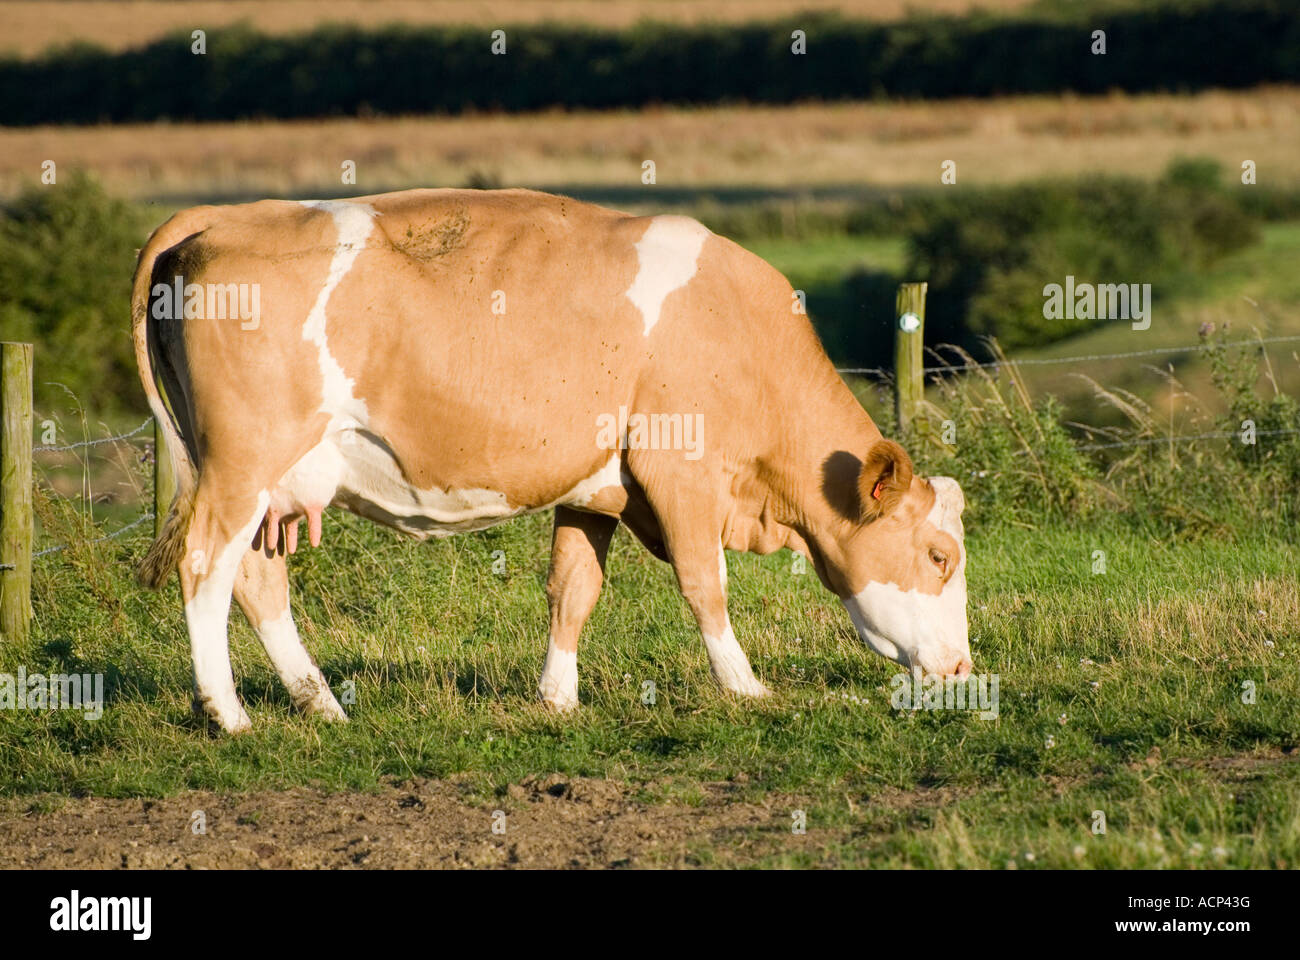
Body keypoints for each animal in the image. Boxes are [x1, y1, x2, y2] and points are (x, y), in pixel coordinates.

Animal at [131, 188, 971, 733]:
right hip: (241, 467)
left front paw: (557, 697)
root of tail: (230, 215)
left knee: (256, 579)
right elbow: (706, 586)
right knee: (204, 566)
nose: (963, 669)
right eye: (938, 555)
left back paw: (321, 703)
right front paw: (744, 686)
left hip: (269, 487)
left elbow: (573, 589)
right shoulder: (682, 473)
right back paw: (228, 713)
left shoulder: (593, 487)